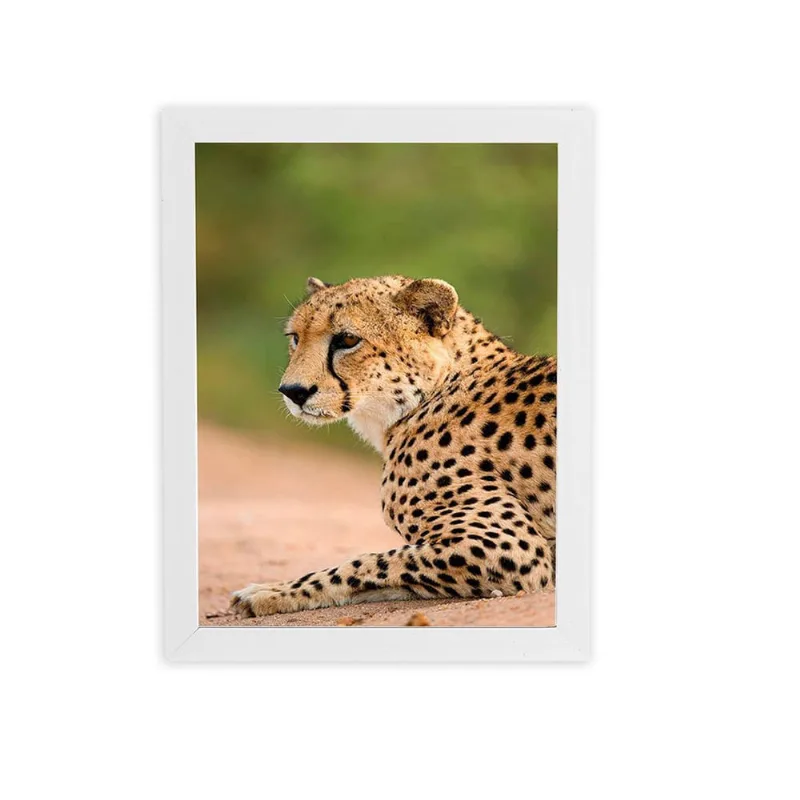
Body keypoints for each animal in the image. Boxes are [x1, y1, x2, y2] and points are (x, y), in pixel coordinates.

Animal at [230, 275, 556, 617]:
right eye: (295, 337)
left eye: (348, 340)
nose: (293, 391)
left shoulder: (510, 547)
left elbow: (364, 563)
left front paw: (270, 591)